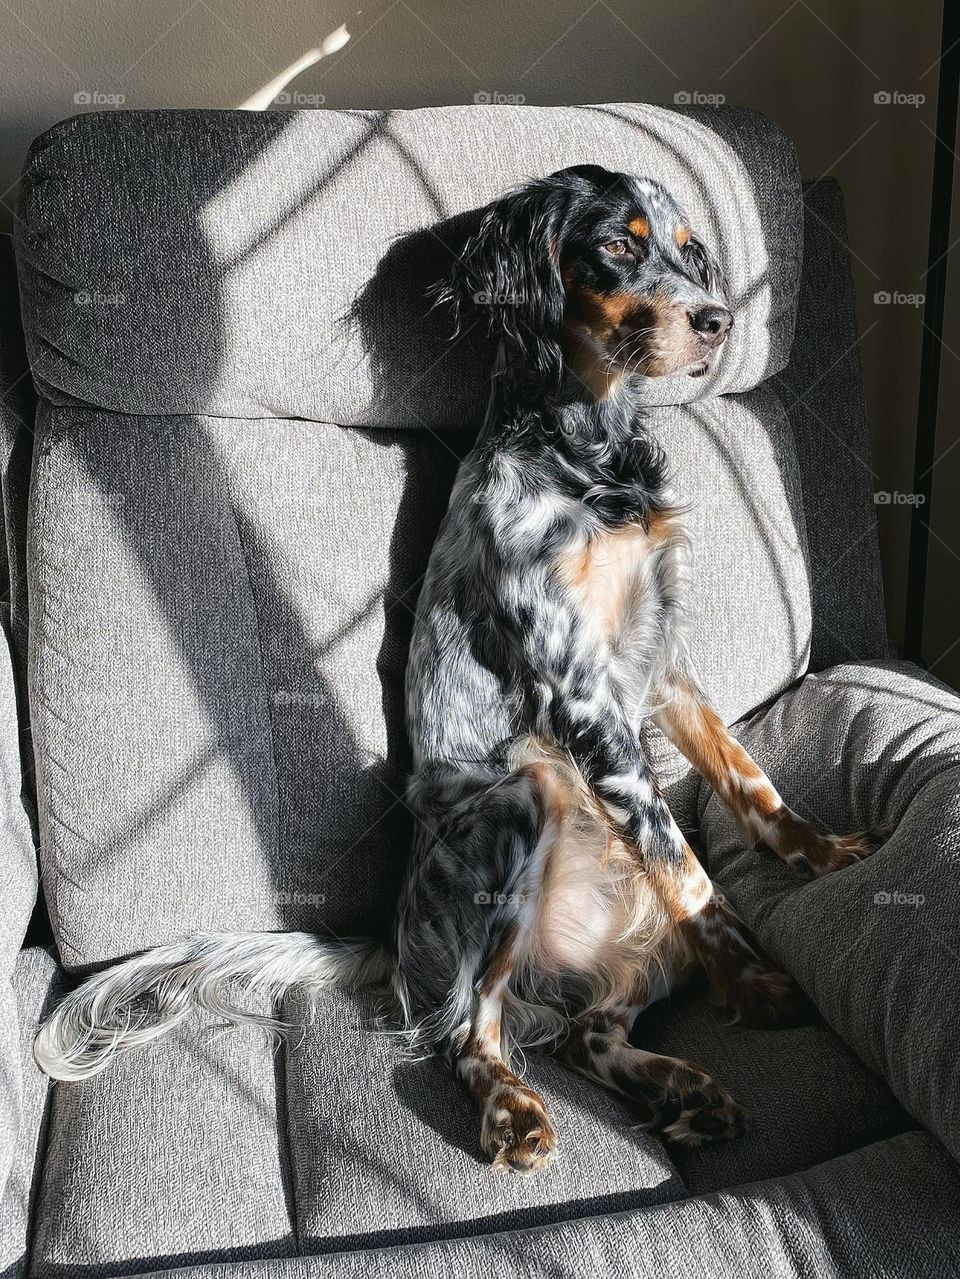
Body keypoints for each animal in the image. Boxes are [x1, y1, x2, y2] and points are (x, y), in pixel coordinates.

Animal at [37, 164, 884, 1171]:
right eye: (620, 245)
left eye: (692, 250)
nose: (717, 320)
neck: (585, 451)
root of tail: (394, 939)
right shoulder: (578, 688)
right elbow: (688, 870)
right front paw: (758, 978)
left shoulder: (664, 660)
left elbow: (749, 781)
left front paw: (824, 853)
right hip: (526, 801)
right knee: (467, 1027)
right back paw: (513, 1109)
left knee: (586, 1031)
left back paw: (687, 1091)